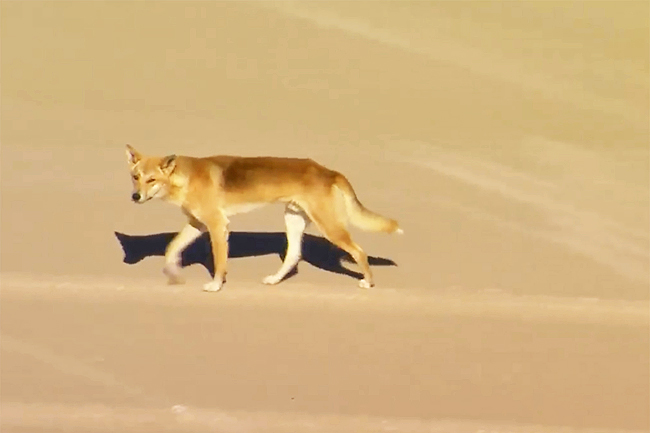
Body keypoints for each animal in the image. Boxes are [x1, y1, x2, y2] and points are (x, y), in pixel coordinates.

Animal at [124, 144, 400, 290]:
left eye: (152, 180)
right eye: (135, 177)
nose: (135, 196)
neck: (186, 179)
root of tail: (329, 171)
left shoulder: (217, 224)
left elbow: (219, 260)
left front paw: (216, 285)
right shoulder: (198, 223)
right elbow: (172, 247)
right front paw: (173, 273)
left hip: (329, 227)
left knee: (359, 251)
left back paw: (368, 282)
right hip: (293, 219)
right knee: (293, 256)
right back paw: (275, 280)